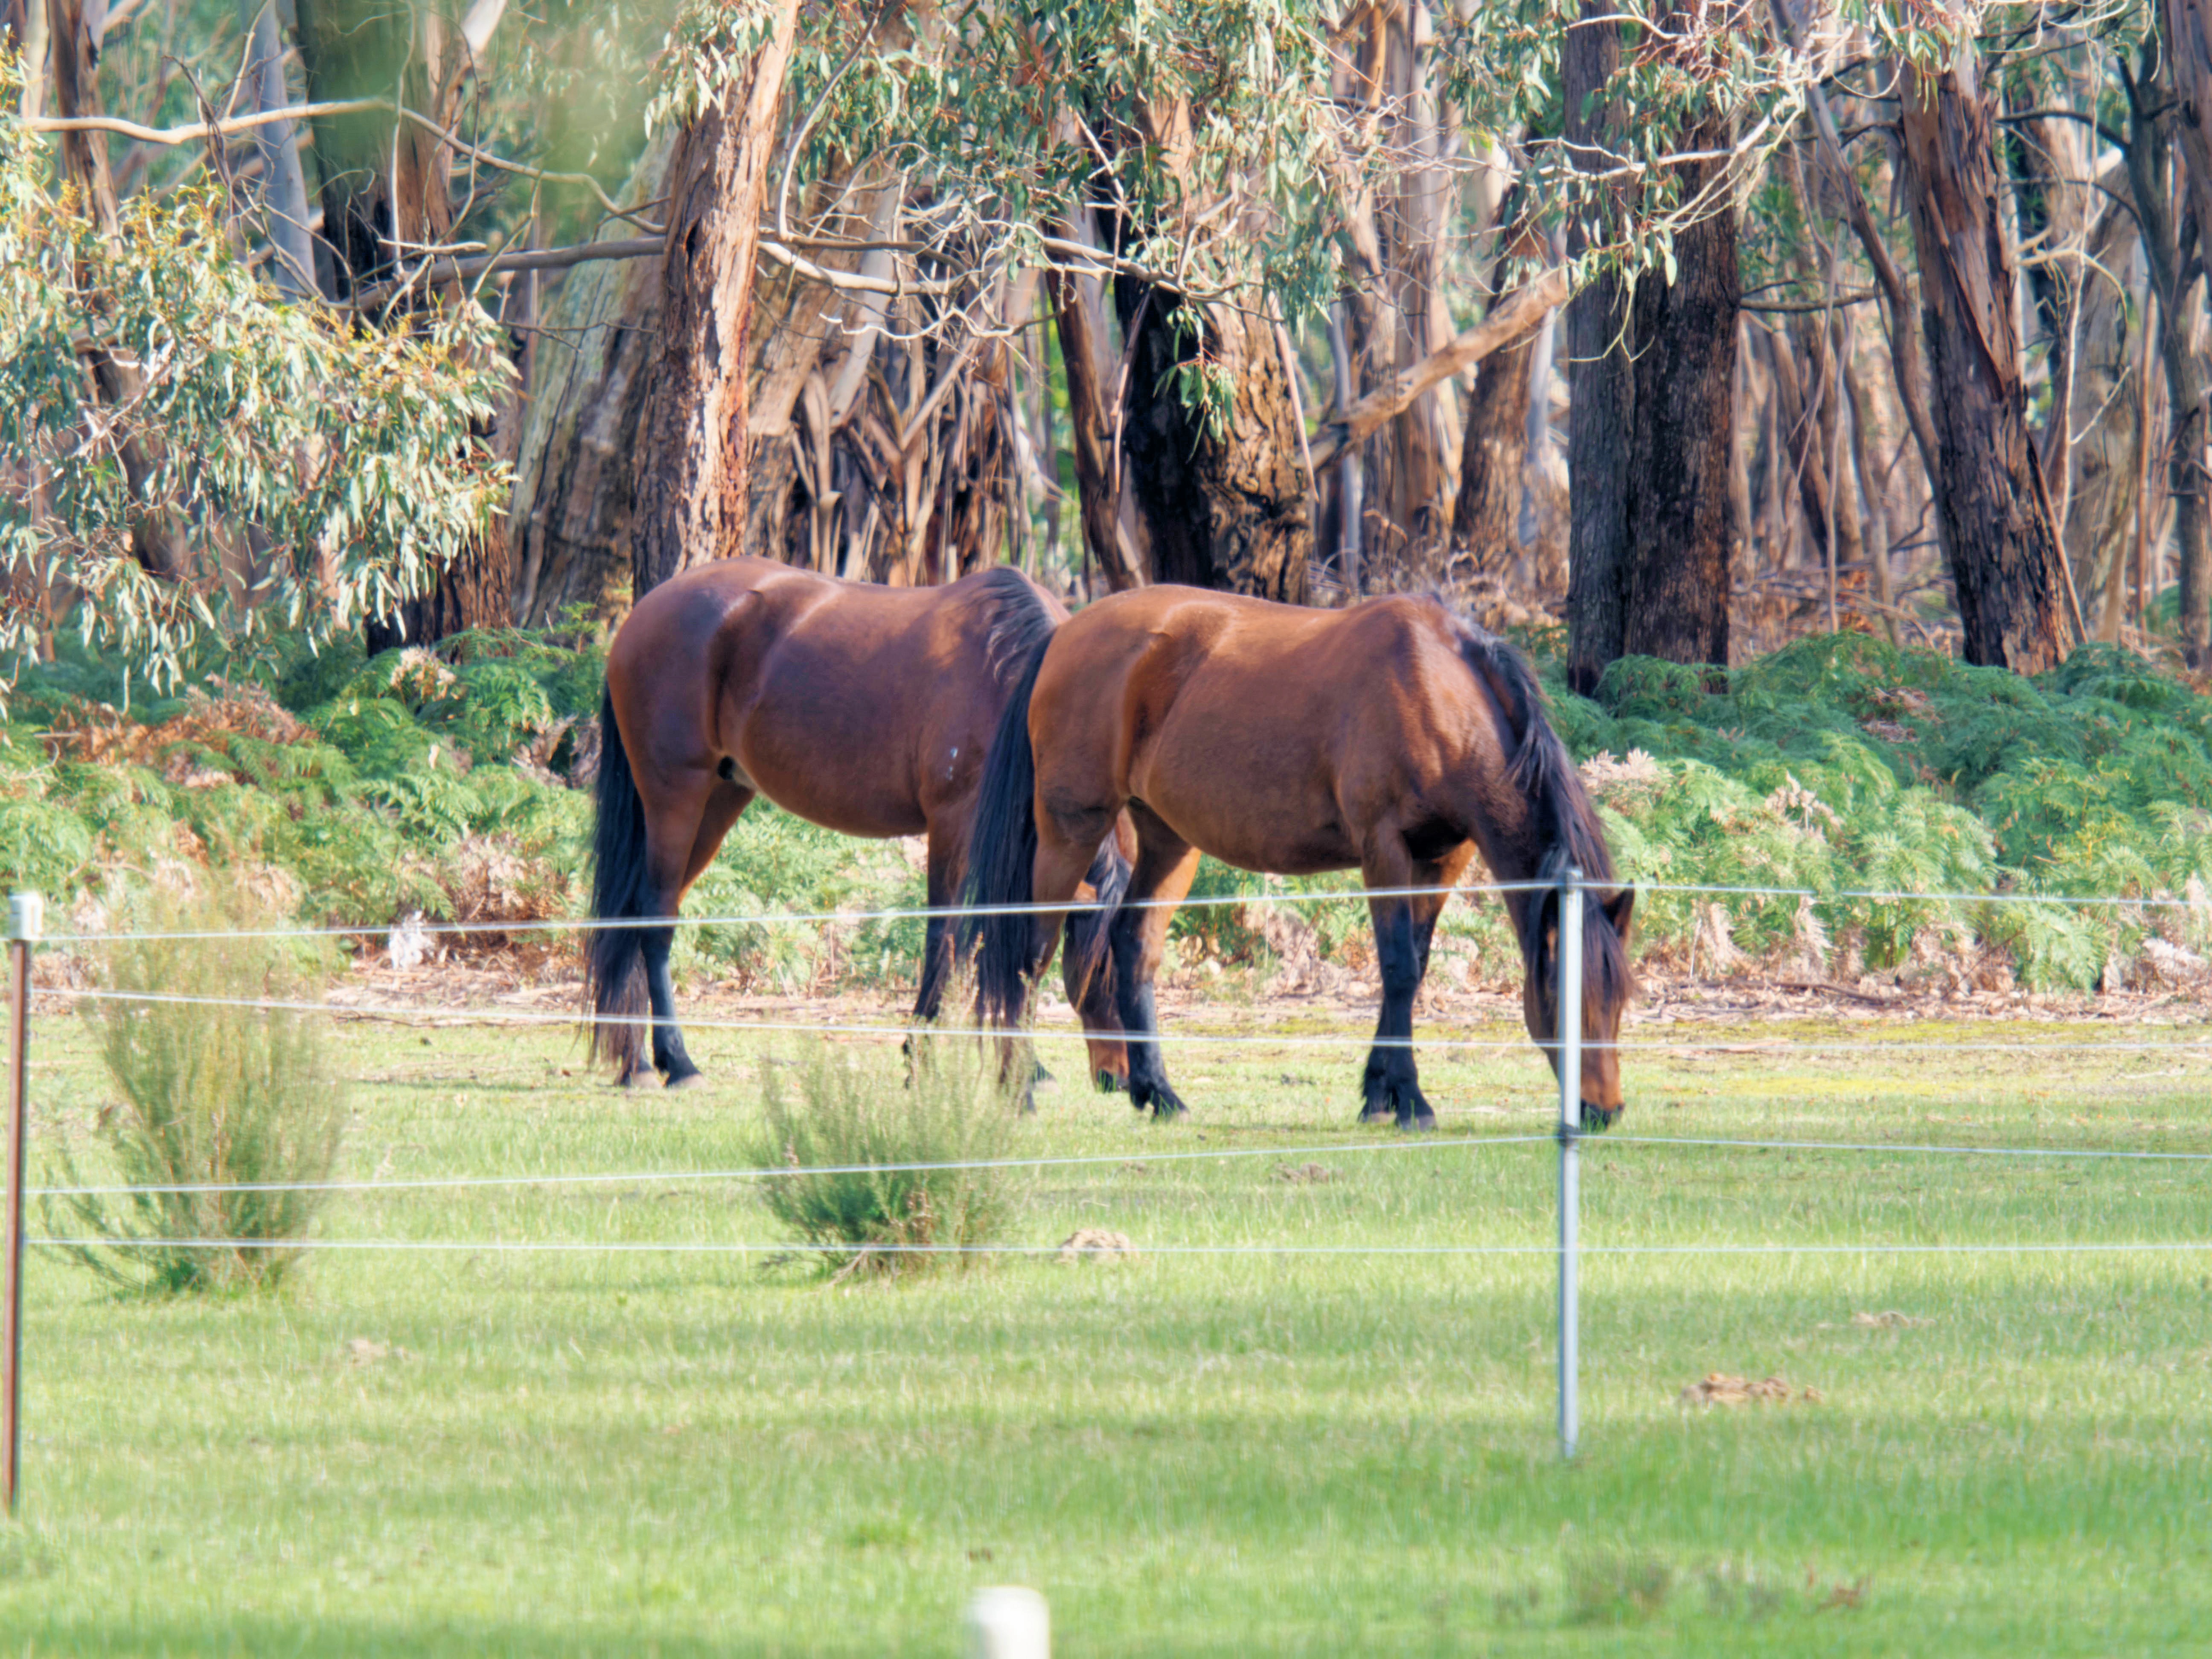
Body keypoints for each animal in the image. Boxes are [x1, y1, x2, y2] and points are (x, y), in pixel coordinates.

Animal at [588, 557, 1131, 1088]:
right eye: (1105, 968)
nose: (1121, 1078)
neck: (1018, 685)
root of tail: (642, 615)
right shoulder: (954, 824)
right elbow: (947, 939)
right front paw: (920, 1056)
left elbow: (1019, 945)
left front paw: (1027, 1068)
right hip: (676, 796)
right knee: (655, 918)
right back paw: (676, 1063)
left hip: (719, 801)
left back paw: (636, 1063)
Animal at [957, 585, 1636, 1129]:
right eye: (1569, 1000)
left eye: (1619, 1002)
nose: (1603, 1112)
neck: (1438, 690)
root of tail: (1064, 635)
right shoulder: (1384, 850)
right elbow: (1398, 969)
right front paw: (1410, 1101)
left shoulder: (1444, 859)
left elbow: (1413, 969)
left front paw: (1379, 1095)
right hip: (1071, 831)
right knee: (1027, 952)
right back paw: (1019, 1091)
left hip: (1169, 841)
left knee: (1133, 946)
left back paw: (1159, 1094)